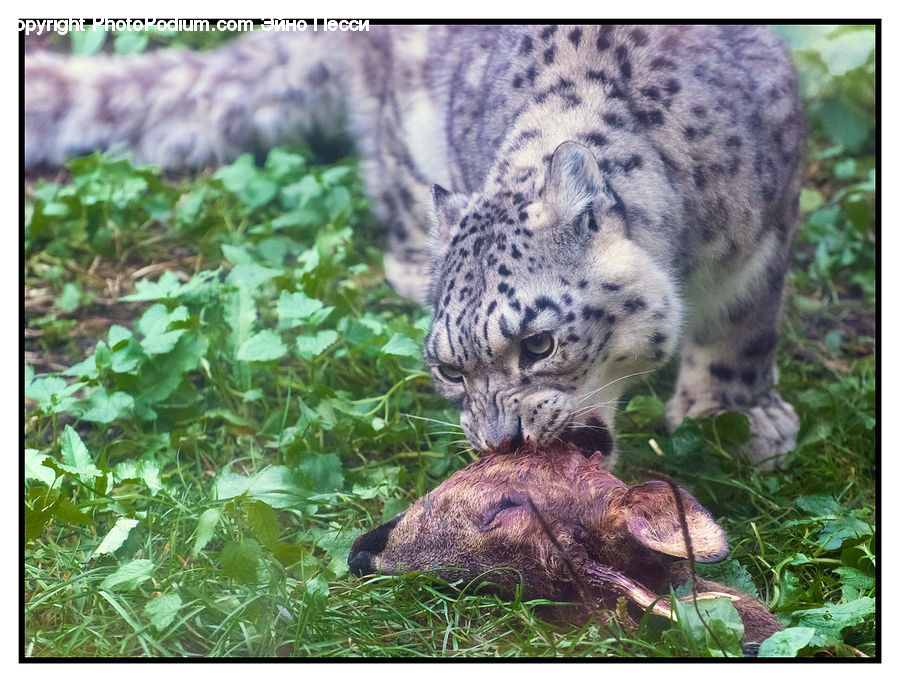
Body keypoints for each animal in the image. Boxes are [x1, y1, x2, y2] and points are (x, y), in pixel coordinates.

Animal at [25, 24, 804, 469]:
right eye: (450, 370)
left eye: (539, 344)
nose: (499, 442)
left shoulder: (764, 234)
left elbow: (742, 328)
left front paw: (732, 418)